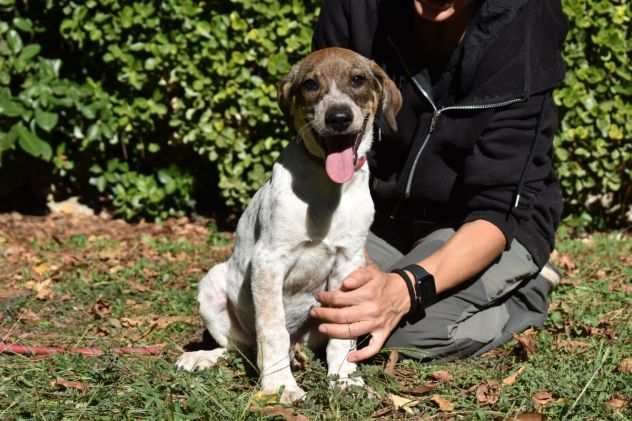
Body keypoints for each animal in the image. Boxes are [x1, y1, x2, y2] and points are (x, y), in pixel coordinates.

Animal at [175, 47, 400, 402]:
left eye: (357, 80)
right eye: (310, 84)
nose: (338, 117)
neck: (328, 188)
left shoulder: (349, 263)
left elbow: (344, 333)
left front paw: (344, 378)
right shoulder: (268, 262)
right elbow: (272, 331)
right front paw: (280, 385)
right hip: (213, 285)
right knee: (241, 348)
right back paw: (204, 357)